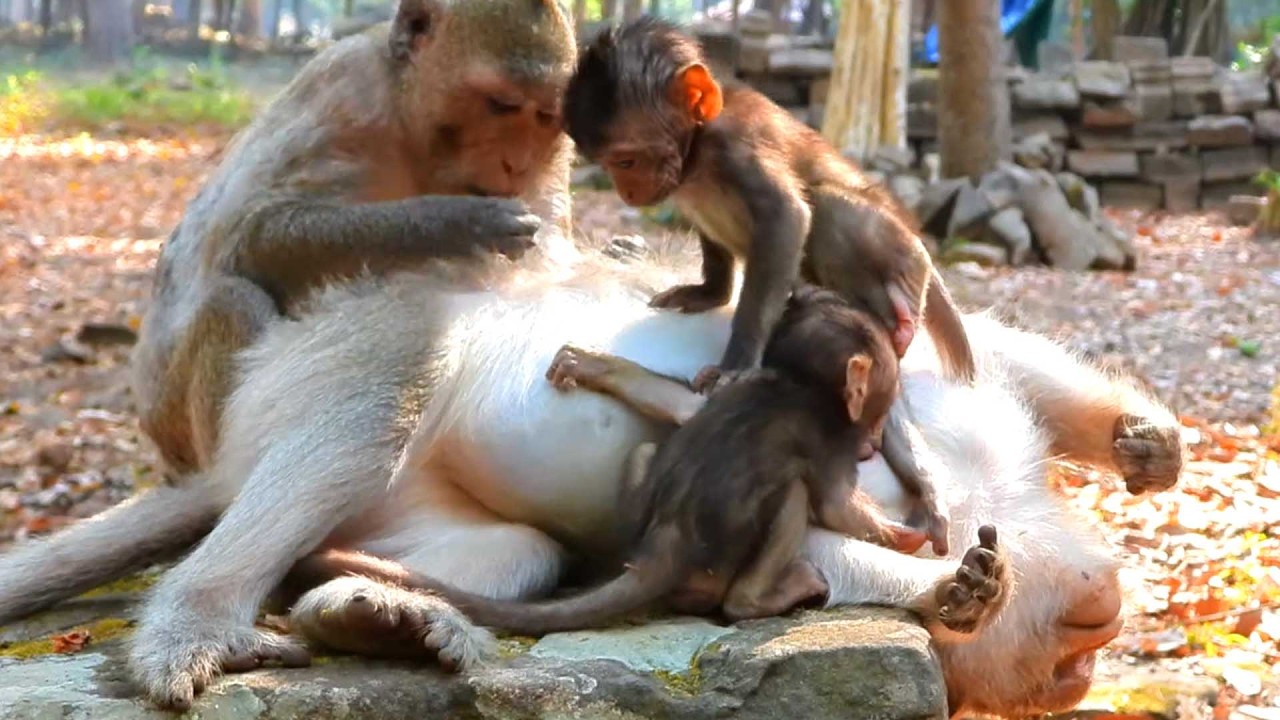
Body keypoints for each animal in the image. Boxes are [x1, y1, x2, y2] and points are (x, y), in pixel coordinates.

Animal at [0, 259, 1184, 712]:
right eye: (1076, 653)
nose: (1092, 627)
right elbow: (790, 556)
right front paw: (947, 591)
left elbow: (988, 352)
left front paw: (1138, 437)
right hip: (344, 347)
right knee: (380, 397)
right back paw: (199, 619)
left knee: (508, 552)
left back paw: (372, 614)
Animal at [129, 0, 579, 478]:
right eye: (501, 105)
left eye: (546, 116)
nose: (516, 163)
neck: (412, 133)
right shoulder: (344, 93)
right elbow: (250, 236)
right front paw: (461, 222)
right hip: (175, 424)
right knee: (230, 301)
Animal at [561, 17, 976, 396]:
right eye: (608, 166)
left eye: (626, 161)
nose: (627, 193)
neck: (697, 148)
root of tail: (922, 256)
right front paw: (709, 293)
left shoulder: (734, 144)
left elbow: (786, 215)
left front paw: (739, 361)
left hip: (901, 253)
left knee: (827, 204)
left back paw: (888, 324)